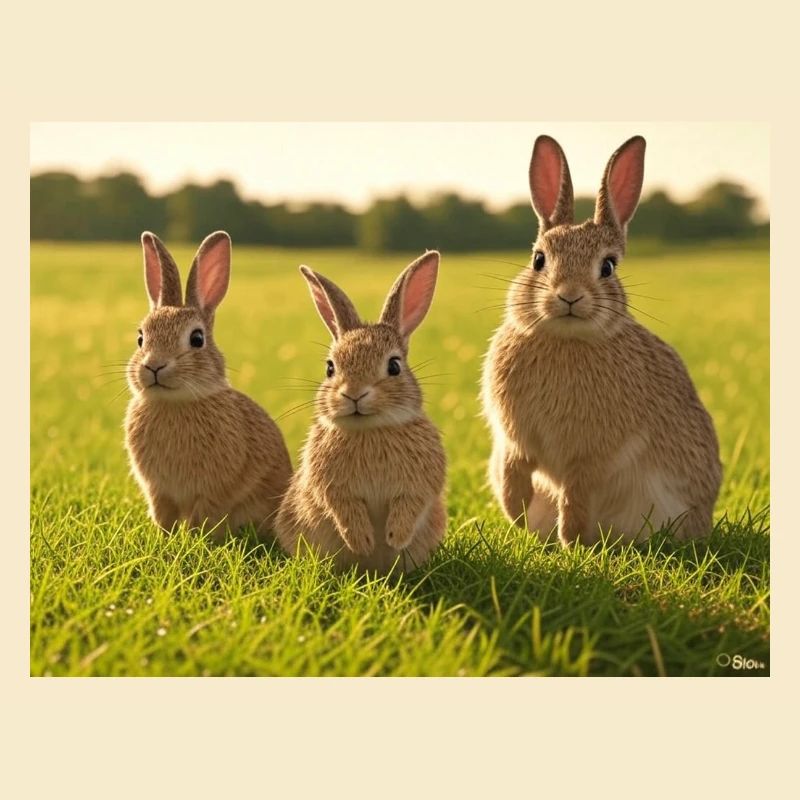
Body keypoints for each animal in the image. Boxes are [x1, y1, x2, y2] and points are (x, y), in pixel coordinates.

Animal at [124, 231, 293, 541]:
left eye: (197, 339)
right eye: (141, 338)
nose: (154, 366)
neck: (174, 403)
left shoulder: (213, 491)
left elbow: (201, 516)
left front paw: (192, 541)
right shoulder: (159, 491)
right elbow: (163, 516)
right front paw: (164, 538)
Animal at [274, 251, 447, 574]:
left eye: (394, 366)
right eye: (330, 368)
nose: (353, 394)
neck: (370, 429)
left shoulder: (419, 484)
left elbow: (410, 504)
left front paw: (394, 537)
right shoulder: (332, 488)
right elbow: (344, 509)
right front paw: (363, 542)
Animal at [481, 135, 722, 546]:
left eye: (608, 266)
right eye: (538, 260)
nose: (569, 296)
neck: (565, 339)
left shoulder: (593, 456)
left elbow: (576, 494)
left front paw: (571, 539)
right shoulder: (515, 441)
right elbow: (515, 470)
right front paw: (517, 512)